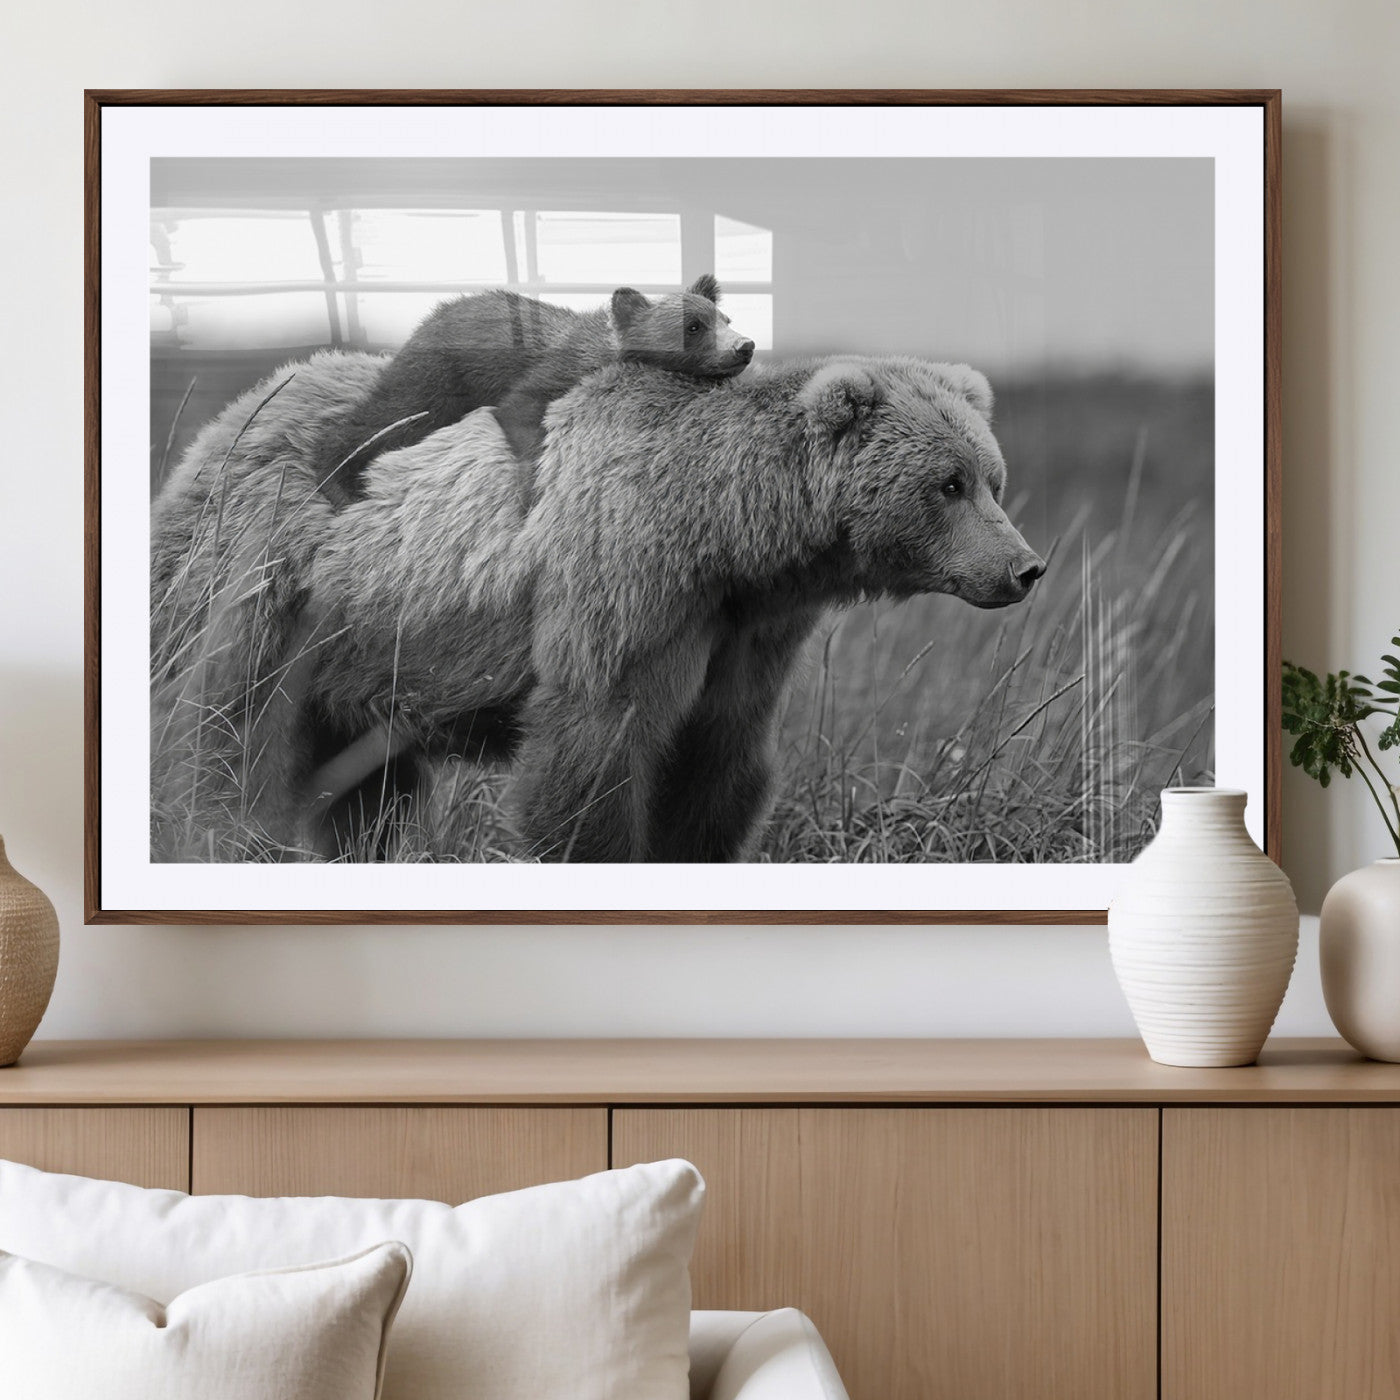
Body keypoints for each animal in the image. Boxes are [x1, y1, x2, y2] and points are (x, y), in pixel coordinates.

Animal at [149, 347, 1045, 864]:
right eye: (949, 484)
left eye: (992, 478)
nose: (1025, 567)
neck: (729, 536)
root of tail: (238, 410)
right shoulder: (626, 585)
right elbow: (594, 748)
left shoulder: (746, 632)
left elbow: (717, 762)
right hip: (267, 583)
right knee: (221, 731)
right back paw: (211, 833)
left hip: (366, 649)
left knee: (366, 785)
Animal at [311, 274, 754, 507]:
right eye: (693, 326)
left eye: (725, 317)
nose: (745, 346)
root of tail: (427, 318)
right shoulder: (546, 375)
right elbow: (520, 412)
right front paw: (531, 491)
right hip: (435, 381)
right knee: (385, 417)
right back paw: (340, 483)